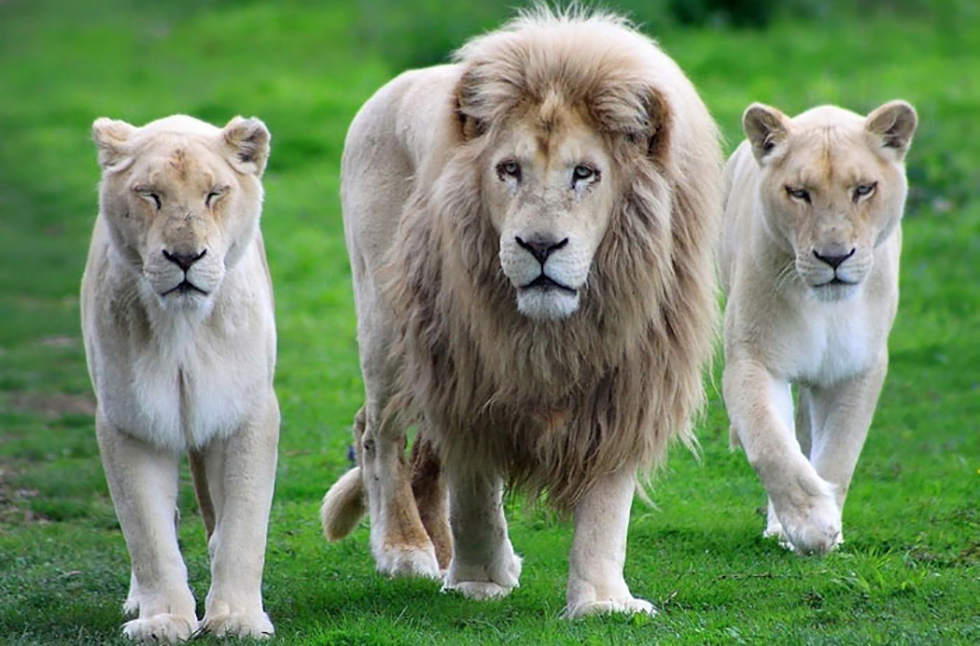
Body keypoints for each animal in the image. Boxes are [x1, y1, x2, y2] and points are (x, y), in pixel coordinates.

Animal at [81, 114, 279, 641]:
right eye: (150, 195)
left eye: (214, 194)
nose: (186, 257)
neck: (183, 327)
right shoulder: (129, 421)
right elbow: (147, 531)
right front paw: (163, 620)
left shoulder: (246, 413)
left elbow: (243, 524)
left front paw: (237, 618)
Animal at [320, 9, 722, 617]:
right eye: (509, 169)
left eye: (585, 173)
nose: (539, 245)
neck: (554, 331)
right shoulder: (465, 376)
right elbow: (475, 494)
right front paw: (479, 582)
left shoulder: (627, 383)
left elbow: (607, 506)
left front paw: (602, 602)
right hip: (388, 325)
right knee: (378, 433)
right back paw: (406, 550)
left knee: (422, 453)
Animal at [719, 100, 917, 554]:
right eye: (798, 192)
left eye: (863, 189)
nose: (834, 257)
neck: (824, 309)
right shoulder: (753, 359)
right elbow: (771, 444)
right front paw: (811, 524)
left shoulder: (857, 368)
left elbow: (839, 453)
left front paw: (828, 527)